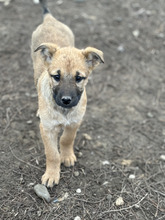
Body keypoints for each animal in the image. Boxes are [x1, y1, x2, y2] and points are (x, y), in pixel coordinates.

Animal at [30, 0, 104, 187]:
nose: (66, 100)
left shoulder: (75, 122)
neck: (63, 111)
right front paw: (52, 173)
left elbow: (66, 139)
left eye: (79, 78)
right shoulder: (47, 128)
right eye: (56, 76)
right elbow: (52, 154)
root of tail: (50, 19)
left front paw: (67, 156)